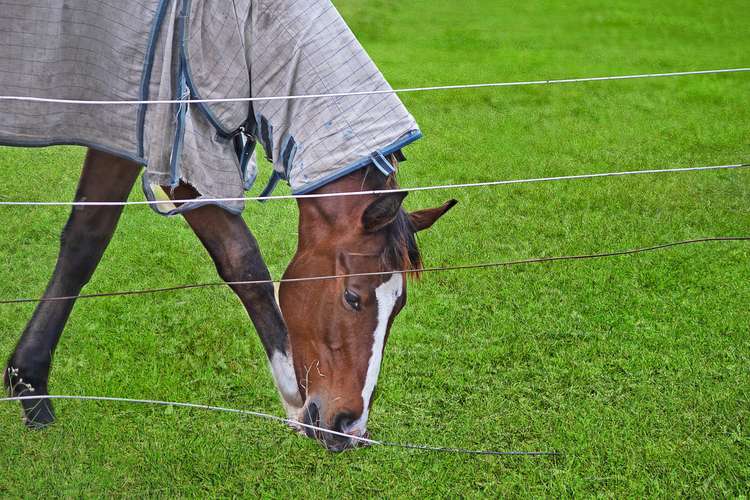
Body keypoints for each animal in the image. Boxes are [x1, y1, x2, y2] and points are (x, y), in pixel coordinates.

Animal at [2, 146, 456, 452]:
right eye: (351, 297)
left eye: (399, 306)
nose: (349, 426)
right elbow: (87, 237)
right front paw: (30, 384)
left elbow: (237, 255)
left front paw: (293, 399)